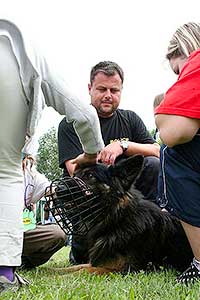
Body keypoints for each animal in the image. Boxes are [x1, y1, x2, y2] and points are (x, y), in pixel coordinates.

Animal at [46, 156, 193, 276]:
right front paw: (49, 271)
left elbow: (84, 270)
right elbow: (76, 267)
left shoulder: (122, 269)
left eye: (90, 175)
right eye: (74, 174)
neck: (116, 219)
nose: (57, 190)